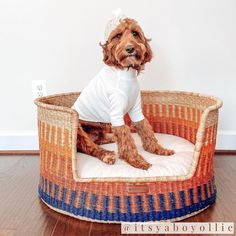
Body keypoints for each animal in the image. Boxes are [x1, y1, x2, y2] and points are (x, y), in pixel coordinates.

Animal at [74, 18, 174, 170]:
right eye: (118, 35)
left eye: (135, 33)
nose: (130, 49)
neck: (126, 73)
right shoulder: (116, 114)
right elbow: (126, 138)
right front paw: (137, 161)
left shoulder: (137, 109)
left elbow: (145, 129)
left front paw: (158, 149)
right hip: (80, 131)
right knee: (90, 147)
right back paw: (106, 155)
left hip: (102, 125)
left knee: (100, 139)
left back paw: (111, 137)